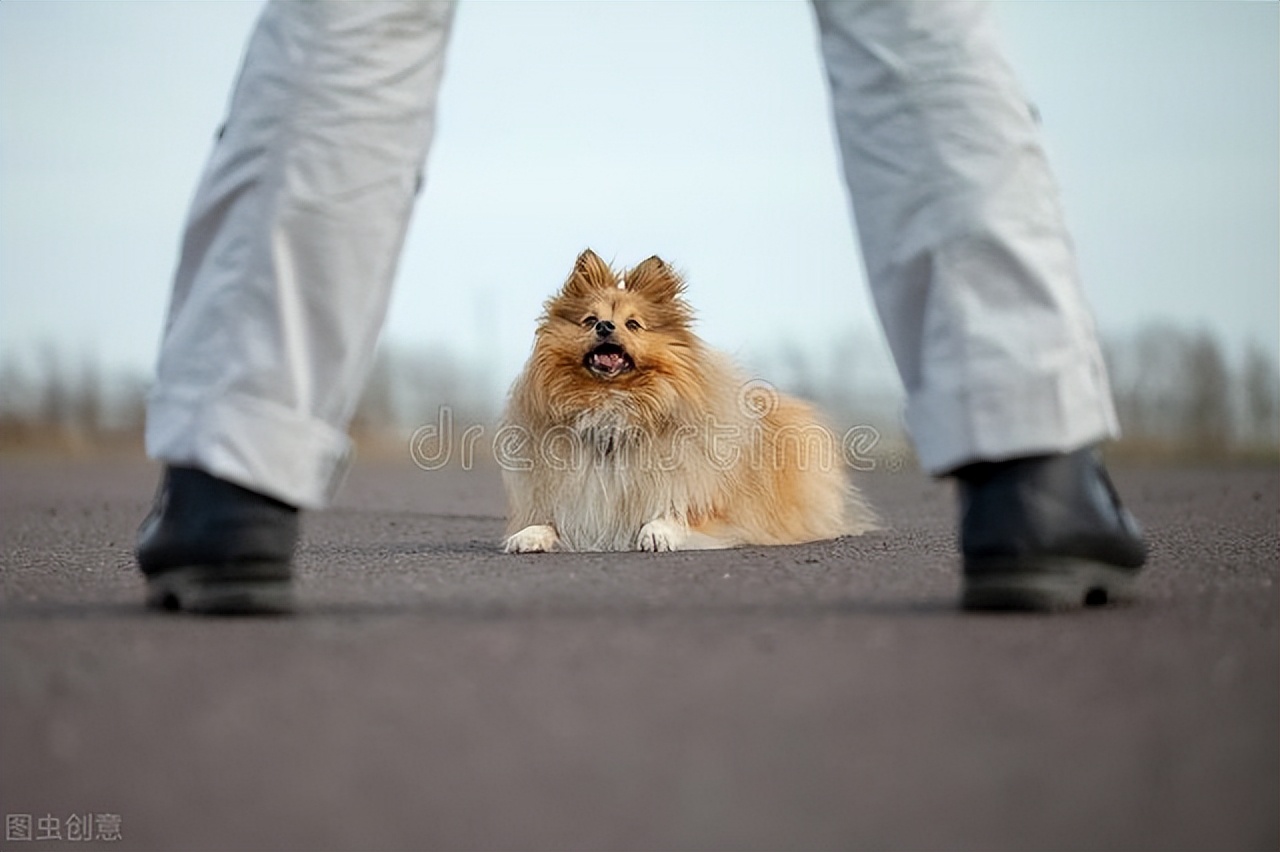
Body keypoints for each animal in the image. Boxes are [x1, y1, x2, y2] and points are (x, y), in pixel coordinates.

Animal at [499, 245, 880, 550]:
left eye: (633, 324)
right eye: (590, 320)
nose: (605, 327)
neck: (613, 407)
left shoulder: (711, 511)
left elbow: (673, 515)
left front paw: (657, 533)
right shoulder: (571, 504)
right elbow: (547, 523)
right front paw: (528, 536)